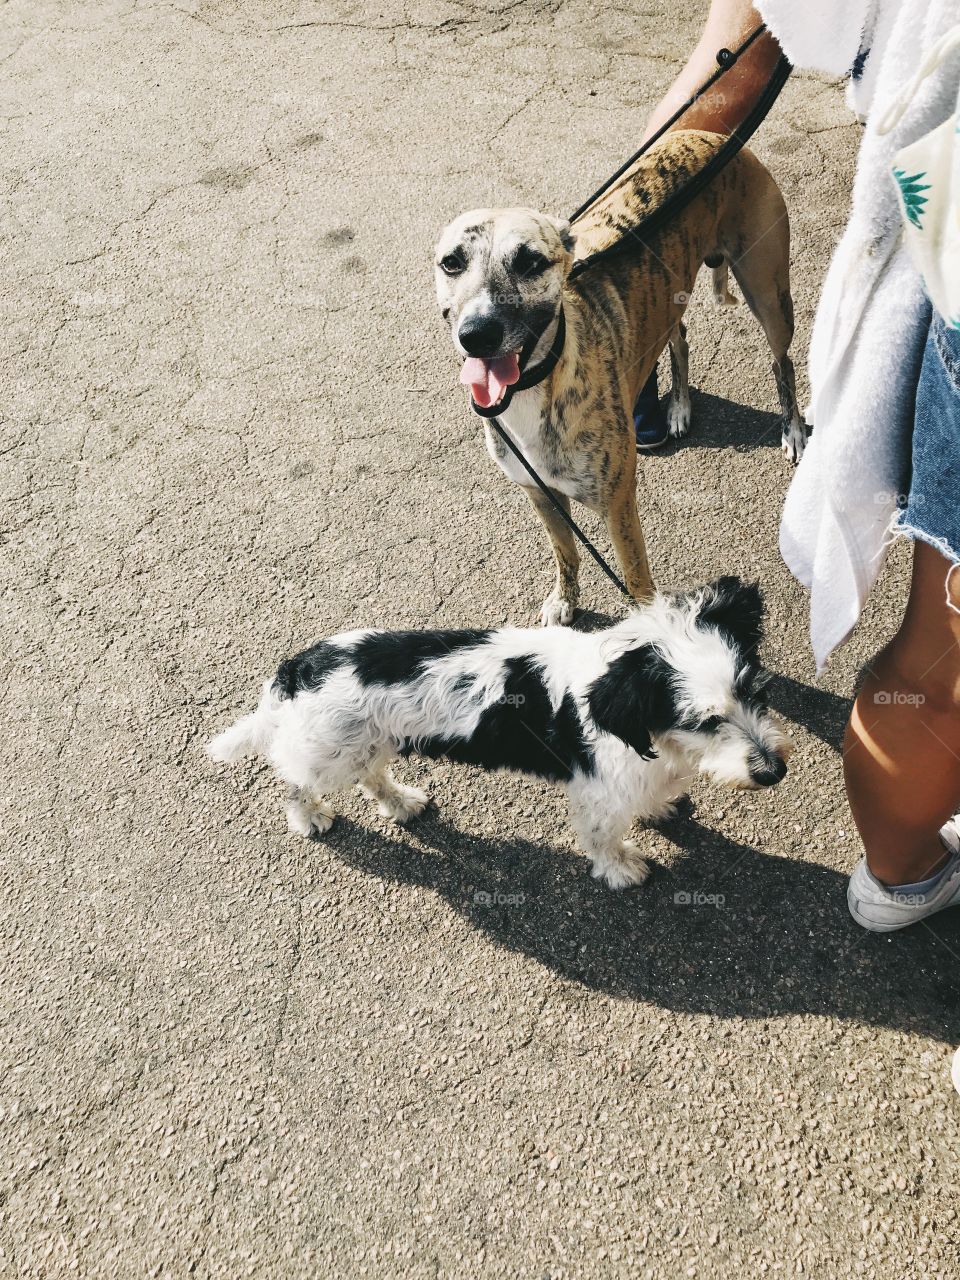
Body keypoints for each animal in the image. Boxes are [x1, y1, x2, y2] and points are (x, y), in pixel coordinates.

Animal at [208, 581, 788, 890]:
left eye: (753, 689)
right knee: (295, 781)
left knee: (373, 777)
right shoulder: (599, 793)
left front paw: (658, 808)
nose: (774, 770)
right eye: (703, 721)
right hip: (329, 754)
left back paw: (400, 803)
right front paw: (620, 868)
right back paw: (309, 818)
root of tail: (299, 666)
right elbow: (603, 837)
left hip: (367, 743)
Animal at [435, 129, 803, 624]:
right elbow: (566, 553)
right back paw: (679, 406)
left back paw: (793, 430)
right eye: (451, 262)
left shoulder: (618, 503)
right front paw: (565, 600)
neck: (541, 384)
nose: (477, 334)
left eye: (531, 262)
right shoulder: (540, 495)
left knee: (782, 362)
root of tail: (710, 135)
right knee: (680, 338)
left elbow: (635, 577)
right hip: (670, 296)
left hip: (768, 293)